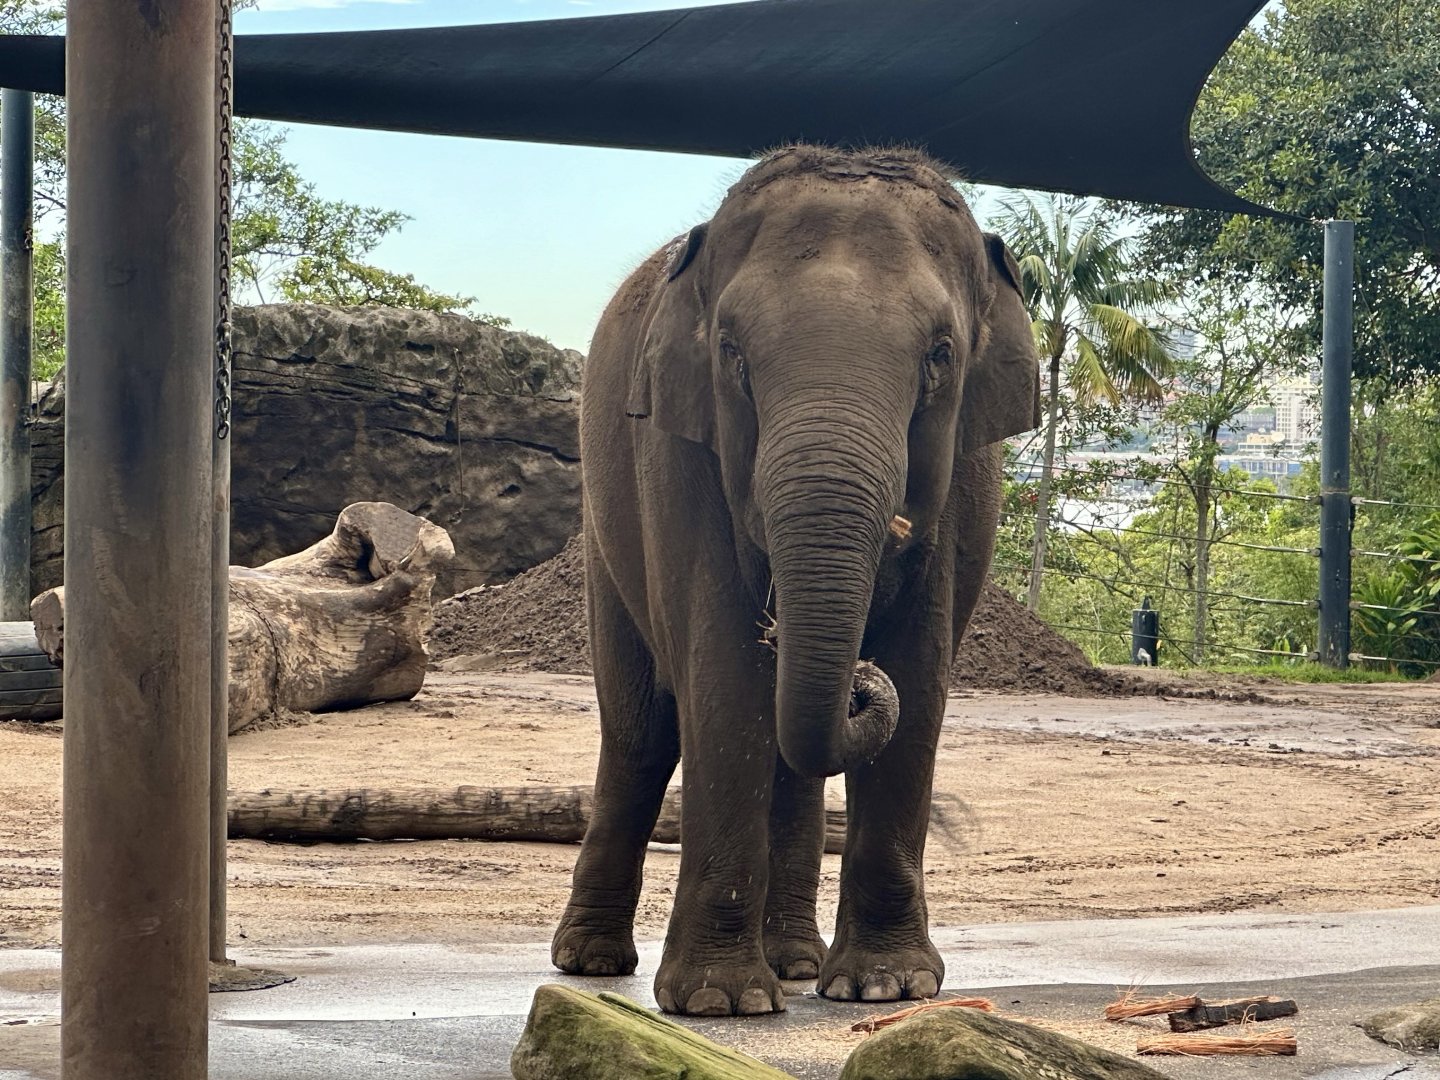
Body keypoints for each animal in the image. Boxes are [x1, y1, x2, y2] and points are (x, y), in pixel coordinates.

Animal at [551, 145, 1040, 1017]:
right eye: (732, 355)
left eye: (940, 356)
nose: (859, 684)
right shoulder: (678, 456)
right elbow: (723, 674)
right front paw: (717, 1002)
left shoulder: (969, 476)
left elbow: (920, 677)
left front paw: (885, 987)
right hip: (606, 535)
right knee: (641, 733)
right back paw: (591, 962)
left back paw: (798, 965)